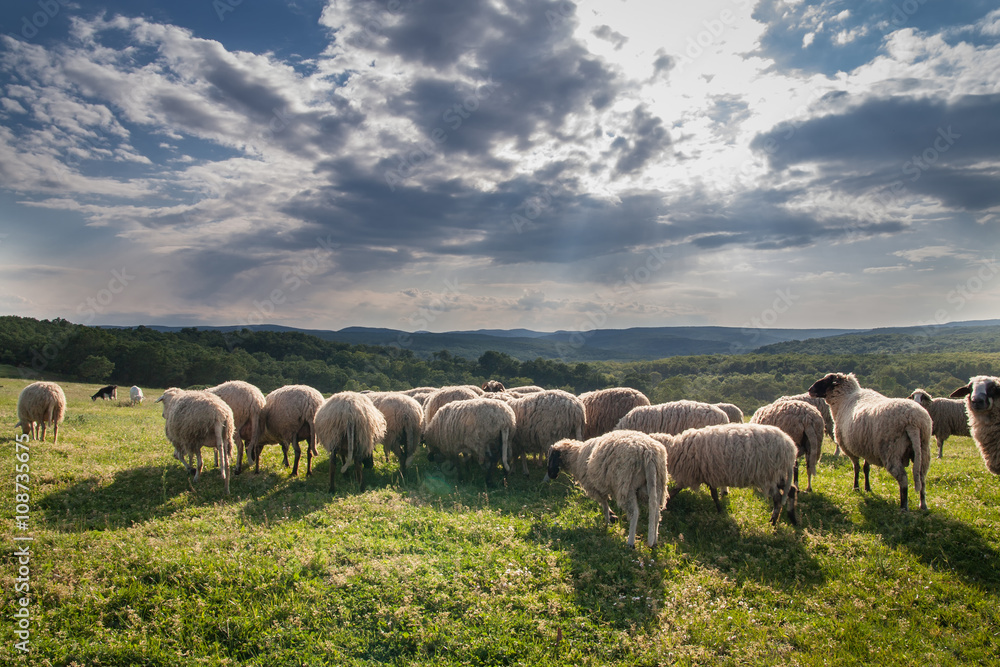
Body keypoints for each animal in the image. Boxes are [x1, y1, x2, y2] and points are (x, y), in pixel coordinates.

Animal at [651, 423, 798, 526]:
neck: (675, 449)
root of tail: (790, 447)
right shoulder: (709, 474)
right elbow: (714, 495)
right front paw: (720, 510)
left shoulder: (690, 474)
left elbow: (674, 492)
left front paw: (664, 505)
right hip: (777, 475)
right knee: (792, 490)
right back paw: (792, 518)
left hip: (769, 475)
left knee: (778, 498)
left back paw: (773, 522)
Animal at [808, 372, 931, 511]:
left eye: (826, 381)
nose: (810, 389)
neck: (844, 398)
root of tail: (913, 422)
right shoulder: (867, 446)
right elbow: (866, 468)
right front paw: (867, 488)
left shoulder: (848, 448)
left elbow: (856, 467)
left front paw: (856, 487)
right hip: (923, 450)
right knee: (922, 478)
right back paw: (923, 504)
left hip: (892, 451)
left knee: (903, 479)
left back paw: (903, 506)